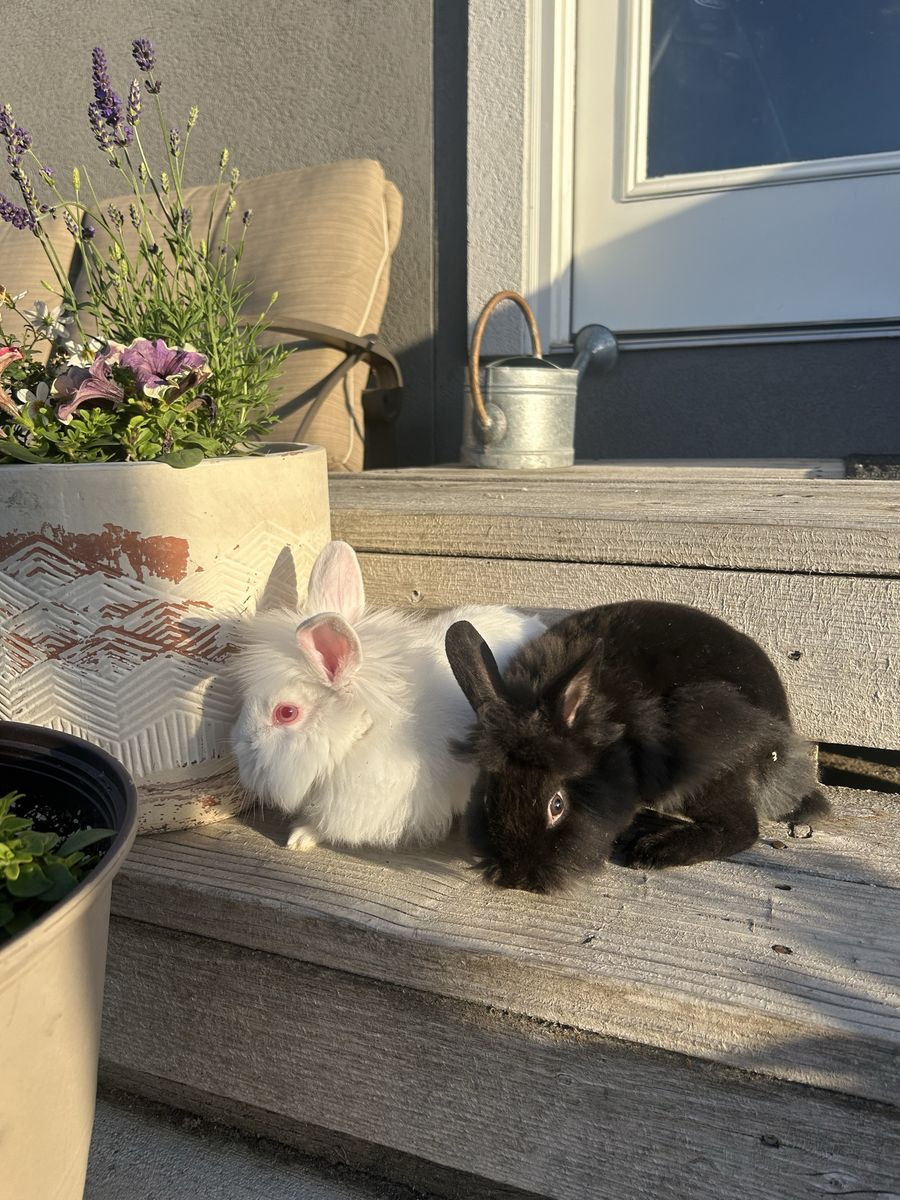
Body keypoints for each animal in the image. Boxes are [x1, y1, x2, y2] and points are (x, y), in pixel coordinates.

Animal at [445, 600, 829, 893]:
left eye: (557, 804)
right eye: (487, 797)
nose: (518, 878)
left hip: (707, 739)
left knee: (741, 828)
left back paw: (656, 849)